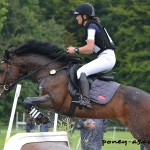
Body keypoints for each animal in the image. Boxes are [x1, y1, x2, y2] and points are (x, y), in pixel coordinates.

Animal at [0, 39, 150, 149]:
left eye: (1, 70)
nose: (1, 93)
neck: (51, 72)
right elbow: (29, 102)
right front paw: (41, 118)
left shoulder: (54, 102)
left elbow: (27, 100)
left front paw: (41, 118)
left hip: (141, 132)